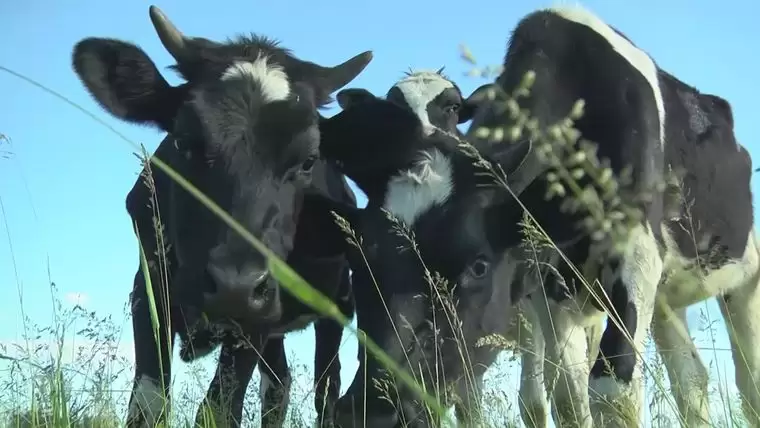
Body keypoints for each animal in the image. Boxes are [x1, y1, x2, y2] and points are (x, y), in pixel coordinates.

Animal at [70, 5, 372, 426]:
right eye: (182, 140)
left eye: (309, 160)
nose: (234, 286)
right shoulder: (147, 286)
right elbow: (149, 402)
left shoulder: (254, 315)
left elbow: (218, 408)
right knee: (279, 384)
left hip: (336, 304)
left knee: (326, 387)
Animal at [328, 4, 760, 428]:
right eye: (358, 257)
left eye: (479, 266)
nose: (371, 412)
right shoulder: (549, 288)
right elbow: (565, 401)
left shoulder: (636, 255)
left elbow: (611, 393)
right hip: (667, 299)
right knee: (691, 380)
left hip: (744, 276)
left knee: (749, 381)